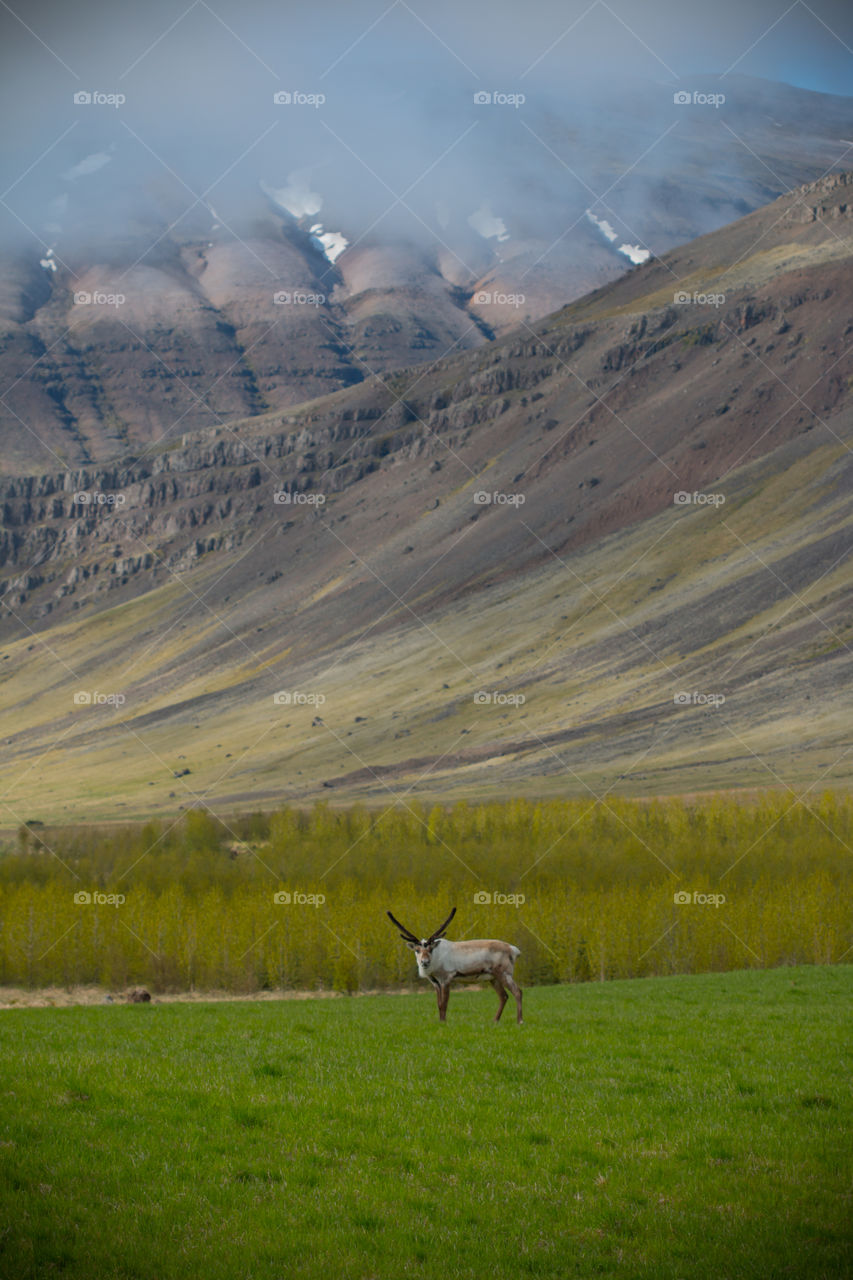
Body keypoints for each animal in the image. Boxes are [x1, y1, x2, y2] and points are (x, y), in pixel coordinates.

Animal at [387, 907, 523, 1024]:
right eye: (417, 950)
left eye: (430, 949)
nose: (425, 962)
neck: (435, 962)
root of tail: (514, 950)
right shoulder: (435, 982)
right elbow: (439, 1004)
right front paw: (440, 1021)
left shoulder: (446, 978)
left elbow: (444, 1003)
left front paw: (444, 1022)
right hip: (493, 977)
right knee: (504, 996)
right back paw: (495, 1020)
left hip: (505, 973)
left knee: (517, 991)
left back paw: (520, 1021)